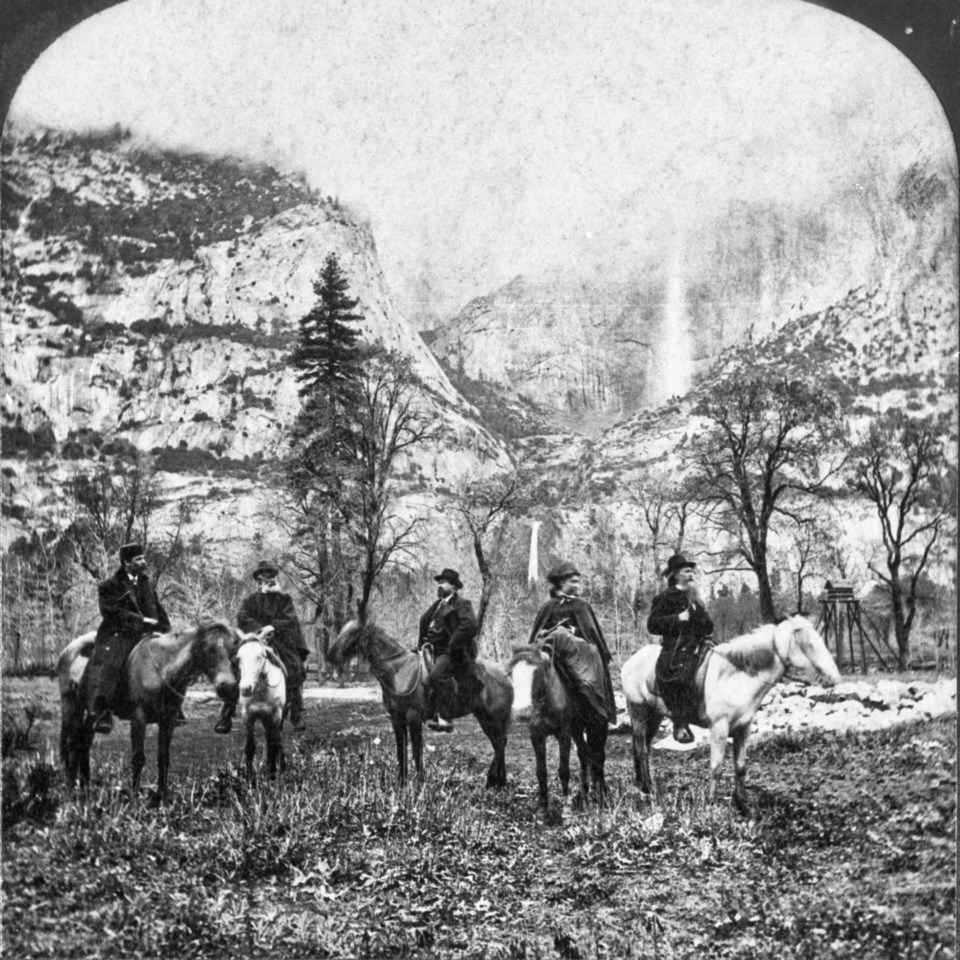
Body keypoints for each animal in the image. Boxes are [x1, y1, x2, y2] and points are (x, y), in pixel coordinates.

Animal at [58, 624, 238, 804]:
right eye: (209, 648)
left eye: (233, 651)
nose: (229, 687)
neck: (160, 669)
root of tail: (69, 649)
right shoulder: (139, 717)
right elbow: (138, 758)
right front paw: (134, 799)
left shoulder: (169, 720)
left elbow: (163, 758)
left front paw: (162, 798)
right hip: (71, 705)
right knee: (72, 744)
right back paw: (70, 790)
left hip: (91, 715)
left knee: (83, 743)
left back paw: (85, 789)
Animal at [328, 624, 512, 788]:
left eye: (353, 633)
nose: (330, 654)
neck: (399, 671)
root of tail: (505, 674)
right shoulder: (396, 718)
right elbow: (401, 750)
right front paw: (402, 783)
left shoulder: (413, 717)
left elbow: (417, 751)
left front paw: (420, 783)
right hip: (485, 718)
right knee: (499, 744)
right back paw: (497, 782)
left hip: (492, 718)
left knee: (499, 744)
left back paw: (494, 781)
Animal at [510, 640, 608, 808]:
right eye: (510, 672)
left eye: (538, 672)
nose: (521, 711)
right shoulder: (537, 736)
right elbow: (541, 771)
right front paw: (543, 804)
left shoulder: (564, 735)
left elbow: (564, 770)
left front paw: (565, 803)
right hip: (577, 730)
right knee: (584, 753)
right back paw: (585, 791)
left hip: (596, 727)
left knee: (599, 756)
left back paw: (600, 793)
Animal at [624, 620, 840, 812]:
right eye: (809, 644)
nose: (834, 679)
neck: (735, 677)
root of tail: (631, 660)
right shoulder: (719, 728)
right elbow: (716, 767)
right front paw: (711, 804)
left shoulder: (743, 729)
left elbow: (740, 767)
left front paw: (742, 804)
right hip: (638, 712)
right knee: (641, 749)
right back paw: (647, 788)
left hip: (654, 717)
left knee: (643, 747)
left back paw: (644, 784)